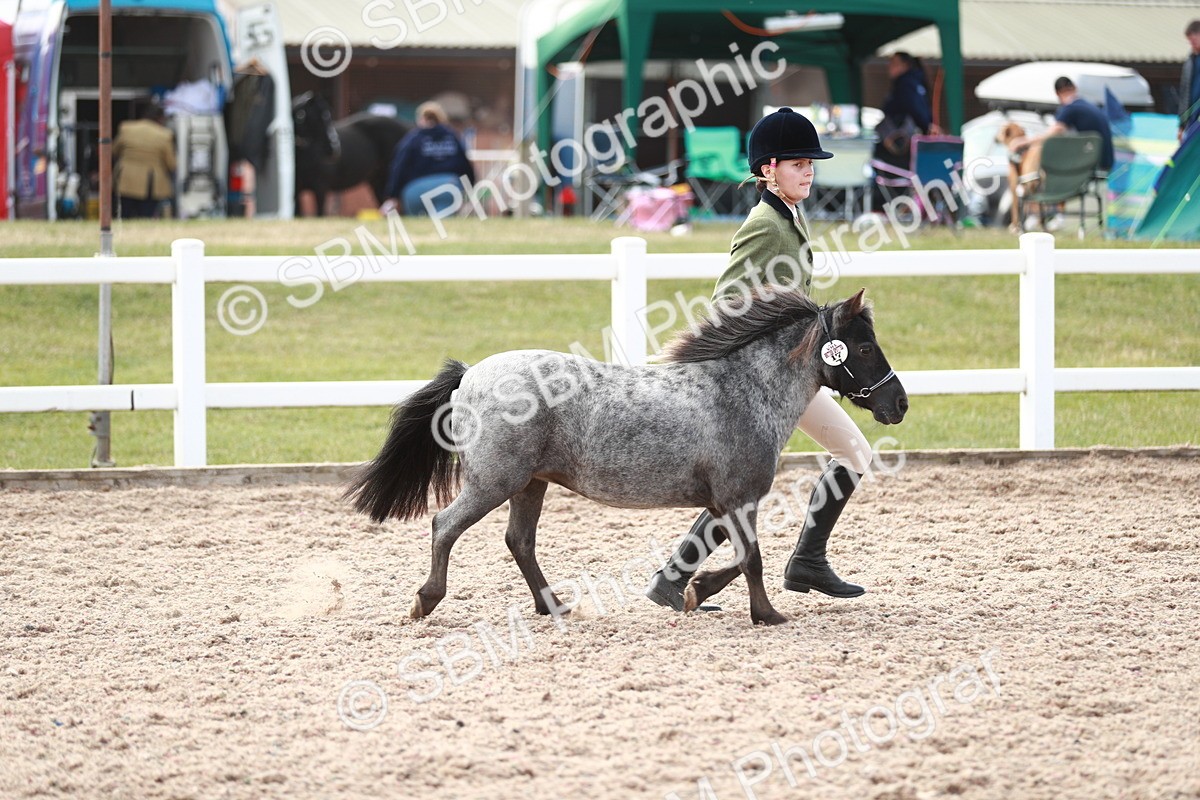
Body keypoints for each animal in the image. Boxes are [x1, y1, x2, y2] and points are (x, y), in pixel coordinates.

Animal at [344, 288, 908, 626]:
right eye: (862, 349)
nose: (898, 404)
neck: (742, 391)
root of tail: (469, 375)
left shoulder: (724, 502)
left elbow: (732, 555)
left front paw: (693, 592)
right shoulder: (738, 498)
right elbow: (751, 558)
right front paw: (765, 614)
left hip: (530, 483)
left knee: (519, 541)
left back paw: (553, 606)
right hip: (493, 483)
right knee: (445, 525)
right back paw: (425, 600)